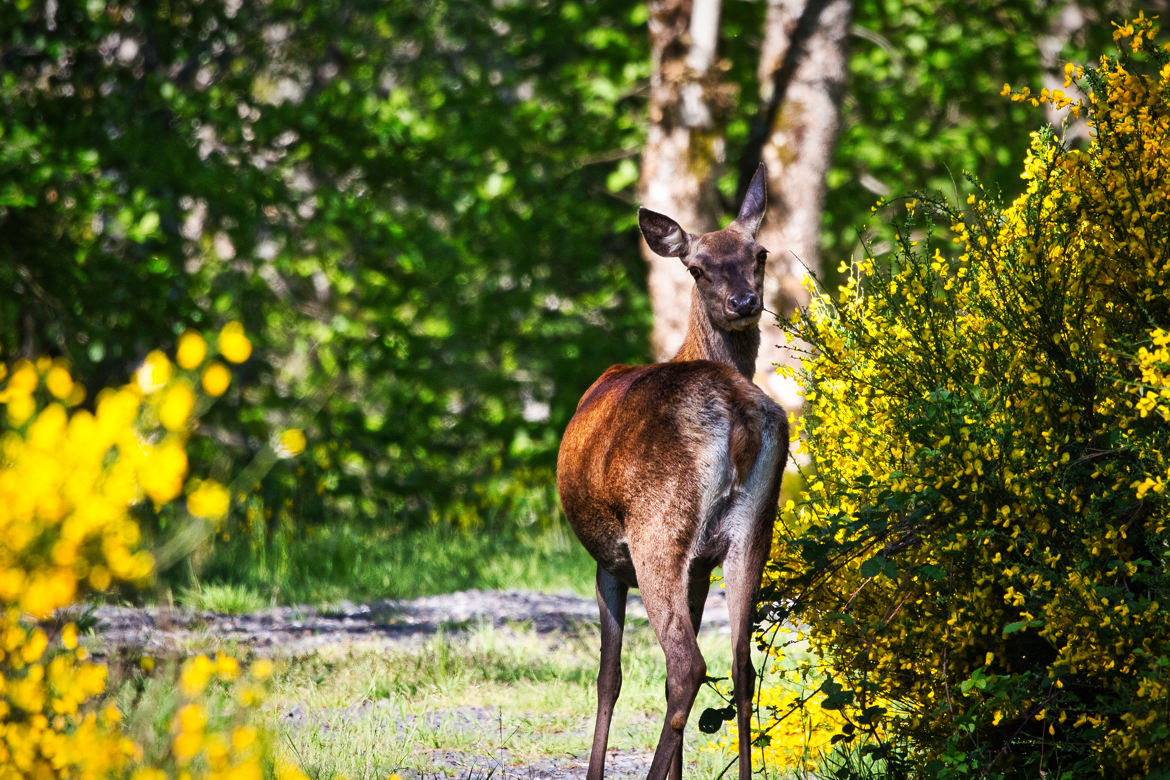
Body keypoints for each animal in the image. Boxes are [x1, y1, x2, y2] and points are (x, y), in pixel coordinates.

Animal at [554, 161, 786, 776]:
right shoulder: (700, 567)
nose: (743, 302)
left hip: (656, 528)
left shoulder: (608, 560)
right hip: (753, 529)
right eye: (698, 267)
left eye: (759, 253)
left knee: (687, 665)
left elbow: (608, 679)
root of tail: (737, 412)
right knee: (742, 666)